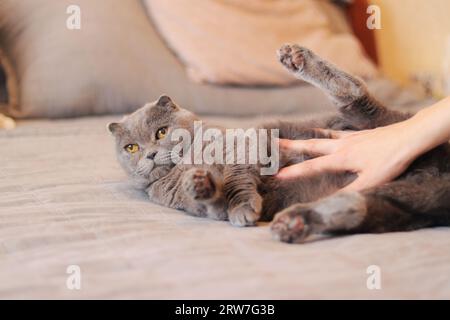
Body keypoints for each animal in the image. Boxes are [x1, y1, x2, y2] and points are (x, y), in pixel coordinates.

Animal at [109, 43, 450, 242]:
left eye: (160, 132)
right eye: (131, 148)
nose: (150, 154)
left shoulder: (243, 145)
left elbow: (236, 179)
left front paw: (241, 205)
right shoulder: (185, 203)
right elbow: (213, 205)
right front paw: (200, 185)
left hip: (373, 124)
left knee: (354, 93)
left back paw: (297, 58)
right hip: (400, 201)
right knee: (360, 207)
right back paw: (297, 222)